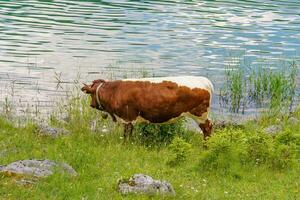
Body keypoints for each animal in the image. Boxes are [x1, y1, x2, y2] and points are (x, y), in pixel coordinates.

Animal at [81, 76, 213, 141]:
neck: (114, 91)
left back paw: (205, 145)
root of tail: (205, 80)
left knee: (207, 127)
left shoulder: (127, 117)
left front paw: (125, 145)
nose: (91, 104)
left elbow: (126, 134)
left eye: (91, 94)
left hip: (199, 114)